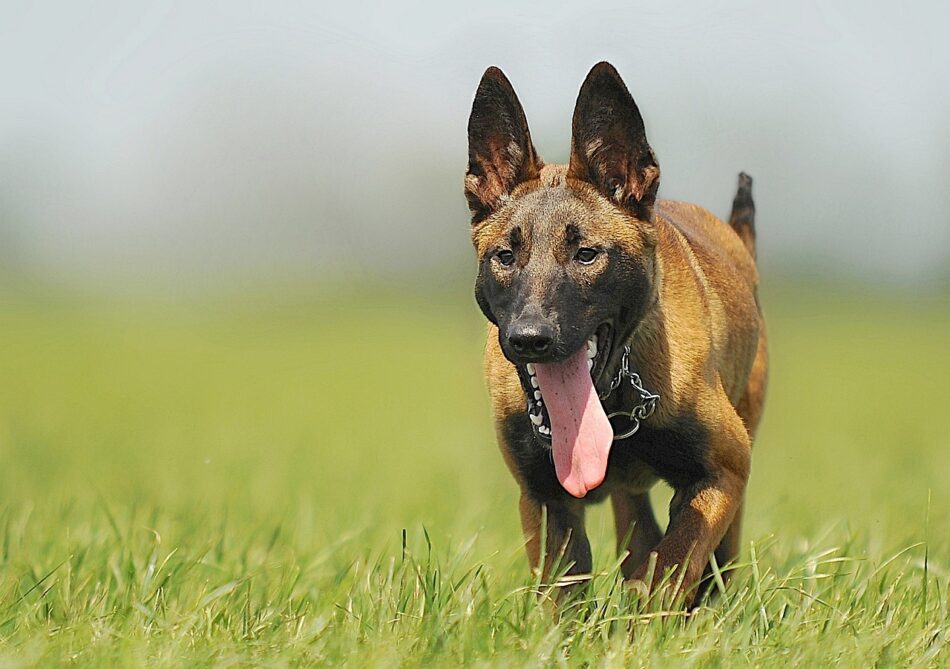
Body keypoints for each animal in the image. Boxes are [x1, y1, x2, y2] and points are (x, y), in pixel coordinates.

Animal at [464, 62, 768, 604]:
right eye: (506, 255)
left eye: (586, 254)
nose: (529, 338)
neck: (612, 398)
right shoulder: (545, 498)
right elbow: (566, 592)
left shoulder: (722, 472)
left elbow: (674, 565)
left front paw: (651, 617)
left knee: (714, 566)